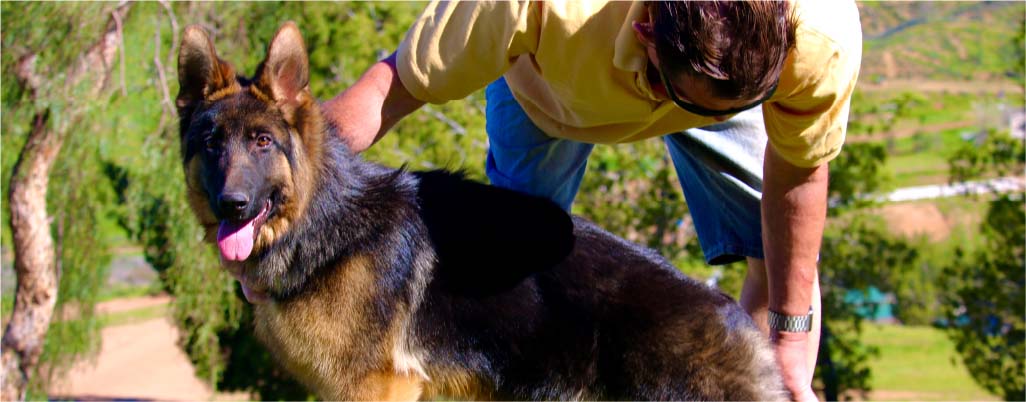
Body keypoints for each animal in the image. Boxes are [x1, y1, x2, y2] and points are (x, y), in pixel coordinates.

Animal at [176, 22, 783, 402]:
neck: (323, 223)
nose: (233, 204)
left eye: (262, 142)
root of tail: (735, 321)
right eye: (211, 143)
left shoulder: (377, 387)